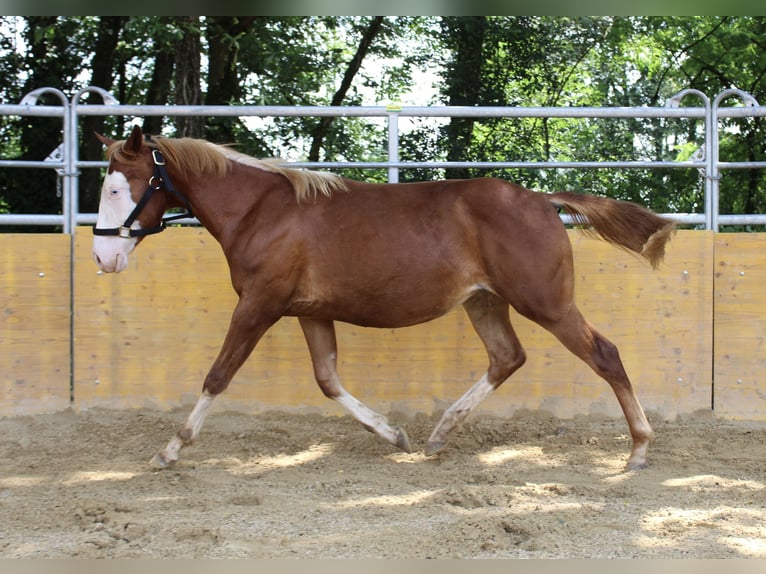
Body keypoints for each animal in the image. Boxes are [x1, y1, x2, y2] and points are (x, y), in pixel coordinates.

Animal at [93, 126, 676, 472]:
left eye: (119, 188)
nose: (103, 257)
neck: (261, 211)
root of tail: (540, 198)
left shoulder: (258, 305)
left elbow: (219, 374)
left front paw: (169, 449)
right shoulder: (309, 313)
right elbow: (327, 381)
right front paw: (395, 435)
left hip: (546, 303)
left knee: (605, 354)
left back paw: (639, 449)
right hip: (484, 302)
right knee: (507, 357)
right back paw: (439, 434)